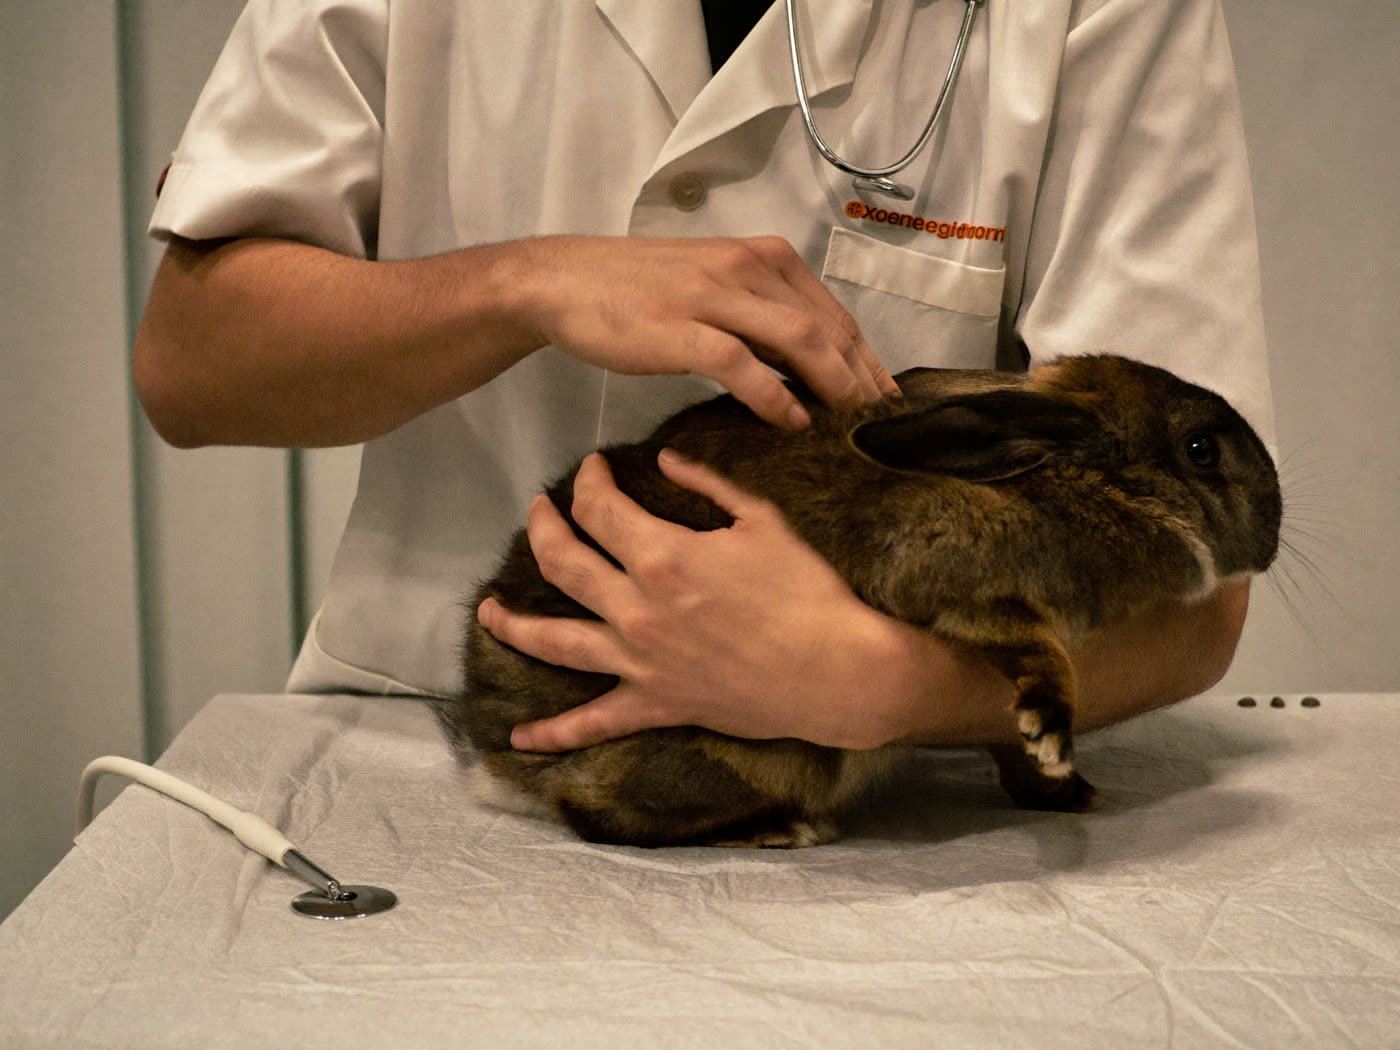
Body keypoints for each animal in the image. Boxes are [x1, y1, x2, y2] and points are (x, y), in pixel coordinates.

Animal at [435, 353, 1281, 848]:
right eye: (1202, 451)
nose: (1272, 540)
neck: (1067, 477)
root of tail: (491, 756)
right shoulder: (944, 566)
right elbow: (1033, 647)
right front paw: (1052, 729)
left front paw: (1064, 789)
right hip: (763, 750)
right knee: (597, 812)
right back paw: (780, 831)